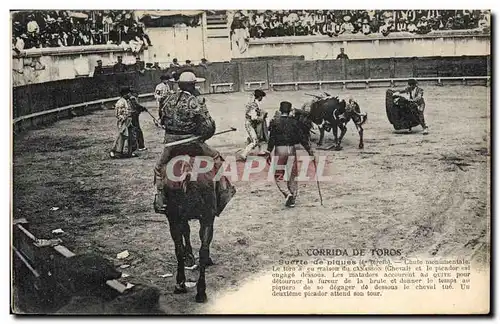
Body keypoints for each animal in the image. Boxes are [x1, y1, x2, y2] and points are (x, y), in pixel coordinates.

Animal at [160, 143, 238, 302]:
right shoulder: (205, 218)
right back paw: (200, 290)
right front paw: (193, 258)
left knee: (178, 248)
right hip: (205, 218)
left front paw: (189, 257)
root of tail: (187, 172)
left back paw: (181, 285)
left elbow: (186, 233)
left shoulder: (180, 218)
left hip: (174, 219)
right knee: (201, 249)